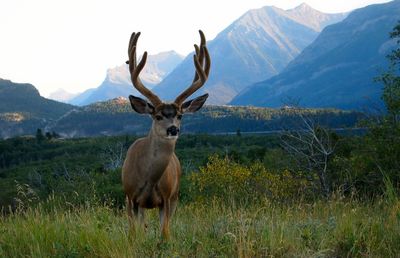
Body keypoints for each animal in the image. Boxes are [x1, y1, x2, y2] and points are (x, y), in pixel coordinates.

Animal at [121, 30, 209, 240]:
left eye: (180, 115)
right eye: (158, 116)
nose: (173, 129)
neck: (149, 177)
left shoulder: (167, 198)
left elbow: (165, 233)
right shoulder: (130, 197)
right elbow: (133, 233)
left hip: (175, 196)